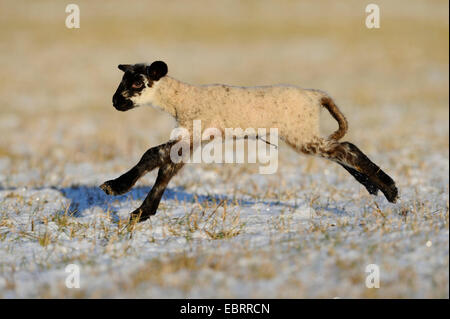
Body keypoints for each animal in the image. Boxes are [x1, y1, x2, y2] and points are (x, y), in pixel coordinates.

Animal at [100, 61, 400, 224]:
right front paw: (138, 208)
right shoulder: (192, 138)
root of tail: (316, 95)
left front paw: (120, 191)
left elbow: (155, 156)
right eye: (123, 80)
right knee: (341, 150)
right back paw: (373, 186)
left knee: (345, 149)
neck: (182, 99)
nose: (114, 102)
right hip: (305, 134)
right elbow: (163, 166)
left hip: (301, 134)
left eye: (137, 83)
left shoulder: (195, 133)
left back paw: (390, 190)